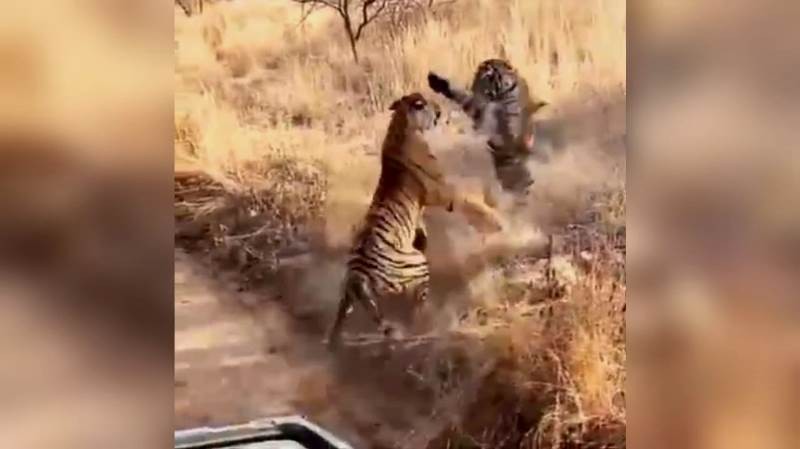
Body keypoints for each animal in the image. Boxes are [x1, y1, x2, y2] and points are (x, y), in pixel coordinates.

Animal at [326, 92, 503, 350]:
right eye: (428, 104)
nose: (441, 111)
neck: (401, 126)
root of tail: (359, 274)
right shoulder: (445, 194)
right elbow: (471, 201)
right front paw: (494, 221)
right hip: (417, 265)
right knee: (418, 305)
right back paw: (431, 323)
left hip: (348, 290)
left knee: (342, 316)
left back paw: (333, 340)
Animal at [427, 58, 549, 200]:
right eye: (478, 77)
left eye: (488, 76)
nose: (474, 88)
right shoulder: (478, 108)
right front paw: (437, 82)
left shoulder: (510, 122)